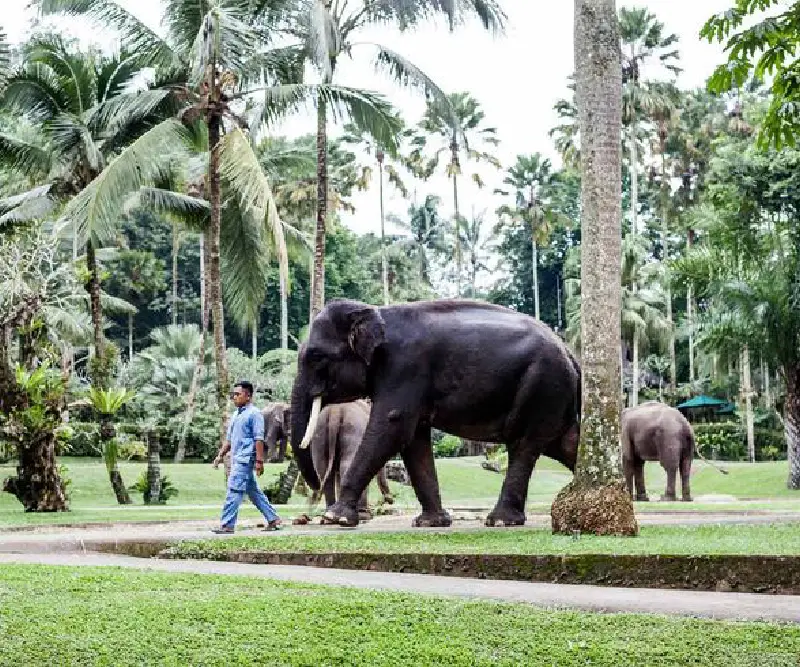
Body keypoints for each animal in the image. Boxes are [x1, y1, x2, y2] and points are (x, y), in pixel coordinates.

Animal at [290, 298, 581, 529]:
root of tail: (571, 354)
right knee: (564, 443)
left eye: (316, 356)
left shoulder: (404, 368)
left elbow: (392, 427)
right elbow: (413, 440)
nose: (312, 515)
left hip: (542, 385)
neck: (377, 312)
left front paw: (335, 518)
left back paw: (500, 521)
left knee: (523, 444)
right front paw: (430, 523)